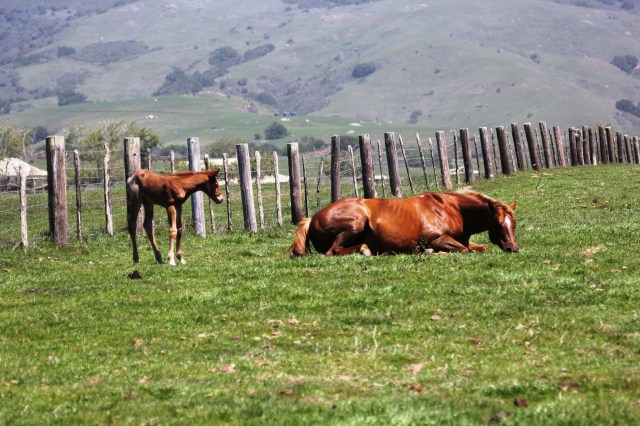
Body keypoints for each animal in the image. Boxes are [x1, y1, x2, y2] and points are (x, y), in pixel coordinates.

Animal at [289, 190, 518, 256]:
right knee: (333, 251)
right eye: (499, 225)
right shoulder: (436, 239)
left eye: (513, 225)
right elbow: (464, 250)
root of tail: (312, 219)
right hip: (356, 223)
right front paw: (432, 253)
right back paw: (365, 250)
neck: (450, 209)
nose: (513, 248)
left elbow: (478, 248)